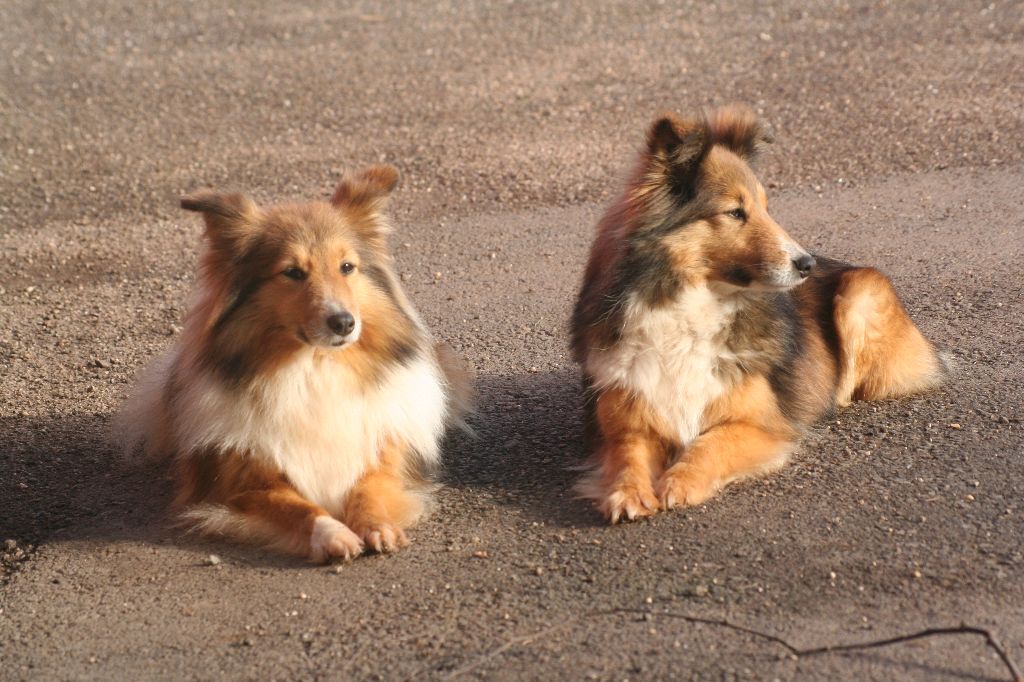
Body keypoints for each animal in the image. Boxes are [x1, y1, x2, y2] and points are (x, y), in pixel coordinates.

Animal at [118, 163, 468, 557]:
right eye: (293, 272)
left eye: (347, 266)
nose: (344, 323)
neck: (314, 366)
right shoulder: (241, 483)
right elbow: (297, 506)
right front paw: (333, 534)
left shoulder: (387, 457)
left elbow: (369, 488)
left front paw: (377, 526)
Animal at [569, 104, 942, 520]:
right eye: (735, 212)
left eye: (766, 207)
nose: (806, 264)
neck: (691, 307)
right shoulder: (628, 419)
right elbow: (627, 454)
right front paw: (628, 492)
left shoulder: (760, 423)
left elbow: (711, 443)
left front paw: (680, 481)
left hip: (862, 290)